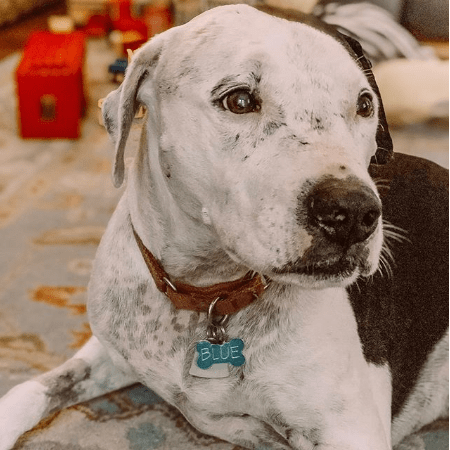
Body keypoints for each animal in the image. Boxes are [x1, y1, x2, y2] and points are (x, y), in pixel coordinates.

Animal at [0, 4, 446, 450]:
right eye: (240, 99)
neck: (206, 295)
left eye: (365, 104)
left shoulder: (350, 429)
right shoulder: (110, 352)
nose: (352, 212)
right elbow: (32, 389)